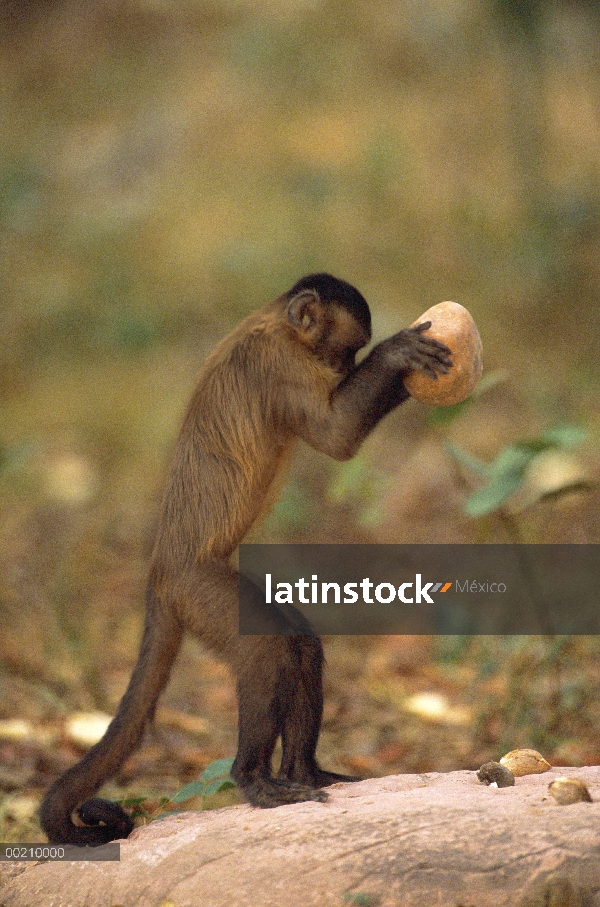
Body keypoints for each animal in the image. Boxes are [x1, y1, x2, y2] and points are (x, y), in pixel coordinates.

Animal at [38, 274, 450, 848]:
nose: (345, 369)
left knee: (299, 643)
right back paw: (252, 779)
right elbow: (336, 437)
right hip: (196, 589)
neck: (273, 324)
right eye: (347, 352)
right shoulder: (277, 364)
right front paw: (396, 355)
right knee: (267, 647)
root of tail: (158, 571)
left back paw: (302, 772)